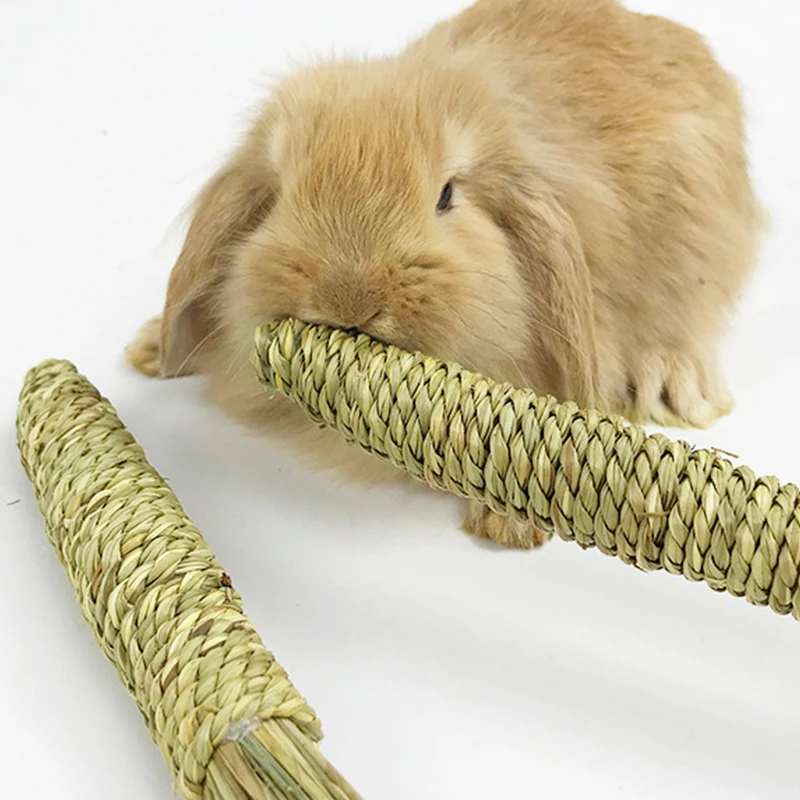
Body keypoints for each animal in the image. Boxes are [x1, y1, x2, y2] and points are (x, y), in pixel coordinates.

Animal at [127, 0, 765, 549]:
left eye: (447, 195)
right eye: (280, 194)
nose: (347, 297)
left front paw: (509, 525)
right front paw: (150, 349)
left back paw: (672, 385)